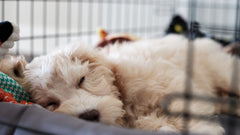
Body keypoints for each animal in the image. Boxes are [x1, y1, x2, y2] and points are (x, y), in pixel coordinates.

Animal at [23, 35, 240, 135]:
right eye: (51, 103)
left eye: (82, 79)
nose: (90, 115)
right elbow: (151, 123)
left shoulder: (174, 86)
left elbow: (186, 113)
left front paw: (204, 130)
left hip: (224, 73)